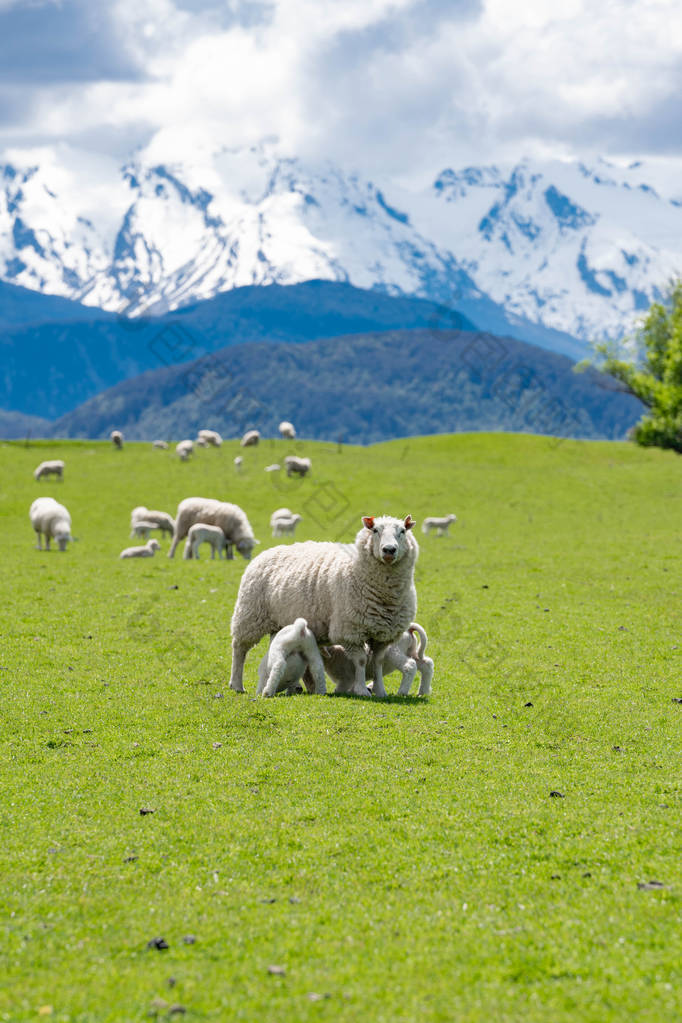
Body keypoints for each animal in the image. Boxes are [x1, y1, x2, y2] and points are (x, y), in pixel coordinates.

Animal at [232, 515, 419, 699]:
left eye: (403, 531)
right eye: (375, 530)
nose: (389, 550)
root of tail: (267, 551)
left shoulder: (383, 635)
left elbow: (377, 662)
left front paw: (380, 691)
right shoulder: (349, 631)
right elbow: (361, 661)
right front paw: (361, 690)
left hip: (280, 624)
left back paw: (302, 687)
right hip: (250, 616)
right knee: (240, 649)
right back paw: (237, 684)